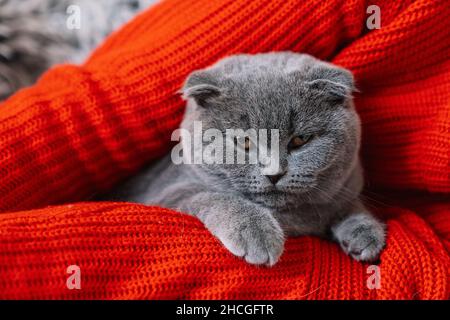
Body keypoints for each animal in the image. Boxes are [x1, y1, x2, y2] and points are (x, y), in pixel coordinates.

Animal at [110, 52, 386, 266]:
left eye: (300, 140)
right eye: (244, 142)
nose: (274, 173)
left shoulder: (345, 187)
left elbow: (348, 205)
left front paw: (365, 232)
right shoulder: (165, 193)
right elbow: (212, 196)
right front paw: (256, 233)